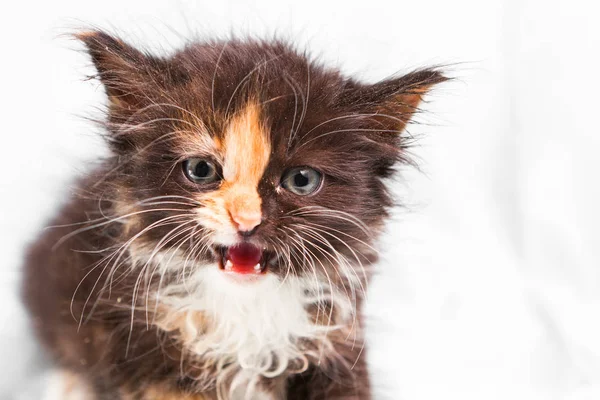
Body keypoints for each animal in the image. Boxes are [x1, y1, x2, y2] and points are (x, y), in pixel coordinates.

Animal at [22, 29, 446, 398]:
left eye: (301, 180)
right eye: (201, 170)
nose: (246, 220)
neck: (244, 311)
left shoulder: (336, 340)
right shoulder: (135, 338)